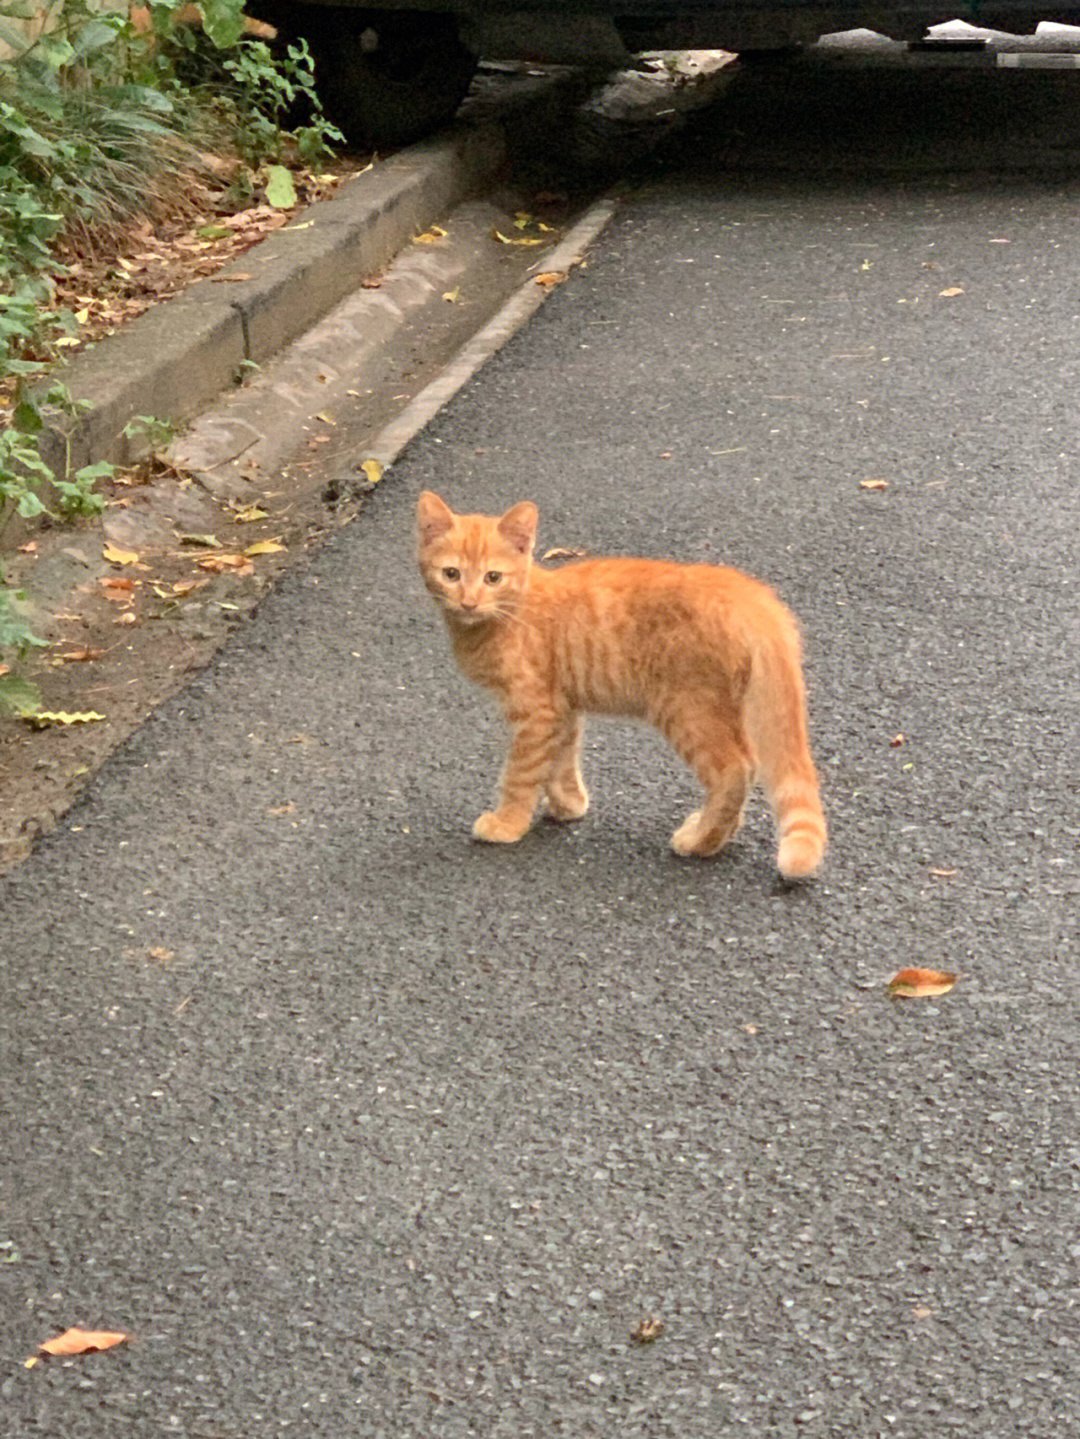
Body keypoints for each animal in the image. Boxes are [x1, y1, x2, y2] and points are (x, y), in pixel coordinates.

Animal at [417, 492, 822, 874]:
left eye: (493, 578)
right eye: (451, 574)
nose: (469, 602)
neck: (510, 613)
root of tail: (745, 591)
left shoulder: (536, 711)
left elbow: (521, 772)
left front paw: (508, 823)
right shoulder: (561, 708)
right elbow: (560, 761)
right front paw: (569, 804)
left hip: (686, 709)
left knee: (737, 770)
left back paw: (701, 842)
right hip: (720, 708)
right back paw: (716, 833)